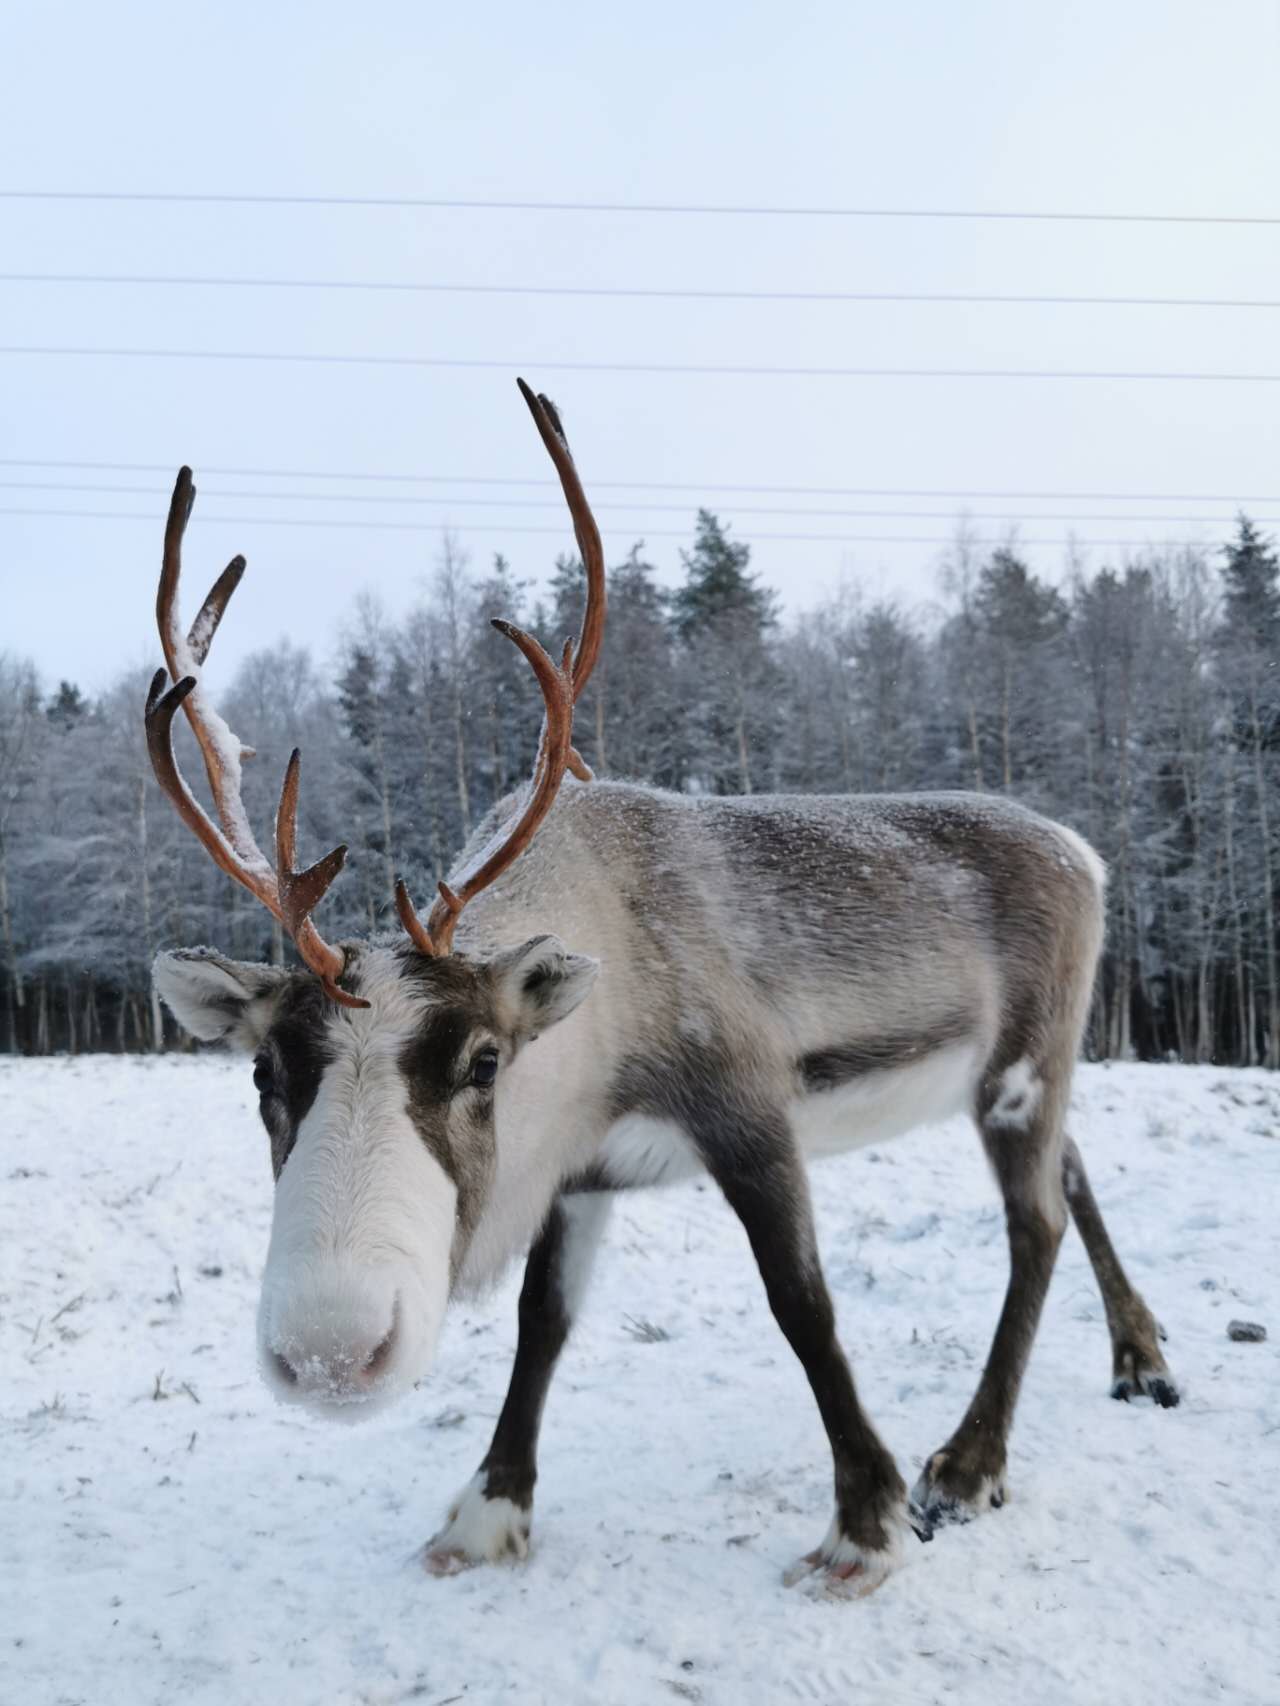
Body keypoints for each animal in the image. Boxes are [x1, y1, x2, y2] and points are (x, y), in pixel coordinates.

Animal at [147, 379, 1178, 1598]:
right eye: (264, 1070)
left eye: (483, 1060)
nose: (329, 1348)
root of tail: (1085, 850)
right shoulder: (581, 1171)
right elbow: (541, 1324)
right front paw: (485, 1513)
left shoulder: (747, 1110)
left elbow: (803, 1304)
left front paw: (865, 1522)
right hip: (1030, 1069)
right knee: (1074, 1170)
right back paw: (1139, 1358)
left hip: (1019, 1065)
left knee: (1035, 1222)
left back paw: (967, 1465)